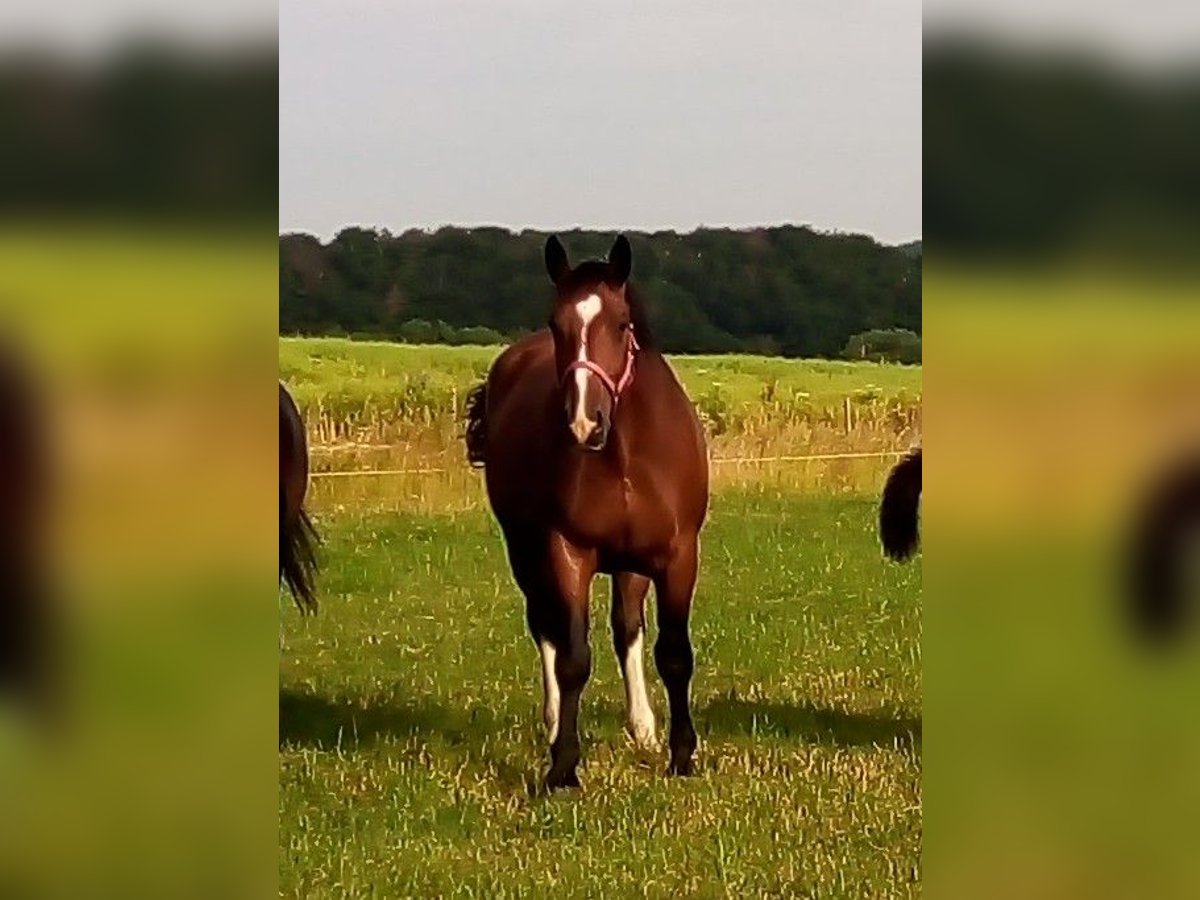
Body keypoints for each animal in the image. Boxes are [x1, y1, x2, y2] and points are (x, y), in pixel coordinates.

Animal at [465, 234, 710, 787]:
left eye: (621, 323)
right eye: (557, 324)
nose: (583, 422)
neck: (624, 454)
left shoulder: (677, 556)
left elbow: (673, 654)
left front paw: (681, 756)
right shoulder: (568, 551)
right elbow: (573, 658)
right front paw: (563, 766)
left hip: (628, 566)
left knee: (627, 629)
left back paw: (643, 727)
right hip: (525, 551)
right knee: (546, 628)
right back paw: (555, 722)